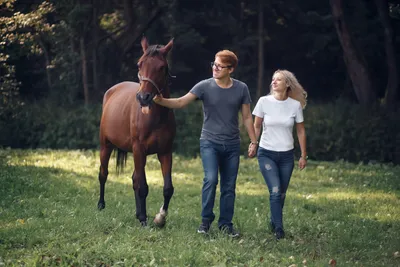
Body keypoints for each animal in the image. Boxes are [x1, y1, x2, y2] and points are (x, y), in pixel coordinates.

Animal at [96, 36, 175, 227]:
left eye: (162, 67)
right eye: (140, 64)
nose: (143, 97)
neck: (155, 117)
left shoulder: (165, 152)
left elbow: (167, 188)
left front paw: (160, 218)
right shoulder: (140, 150)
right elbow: (143, 187)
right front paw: (144, 220)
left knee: (134, 179)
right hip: (105, 146)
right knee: (103, 174)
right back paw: (101, 204)